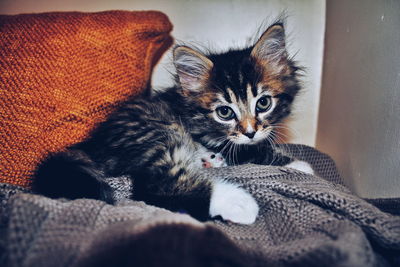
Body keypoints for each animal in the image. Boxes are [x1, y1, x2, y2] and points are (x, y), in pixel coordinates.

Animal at [32, 22, 312, 225]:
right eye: (224, 112)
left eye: (263, 103)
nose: (251, 131)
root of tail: (94, 142)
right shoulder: (213, 136)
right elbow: (250, 150)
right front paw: (298, 165)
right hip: (158, 132)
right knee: (157, 185)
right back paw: (236, 202)